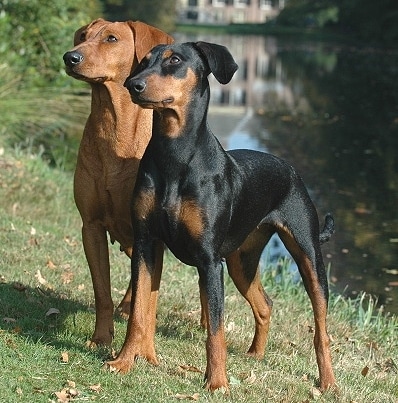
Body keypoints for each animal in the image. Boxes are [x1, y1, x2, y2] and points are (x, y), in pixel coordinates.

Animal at [106, 42, 336, 392]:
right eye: (143, 62)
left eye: (175, 60)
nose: (134, 85)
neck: (175, 156)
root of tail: (291, 169)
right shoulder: (146, 244)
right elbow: (138, 313)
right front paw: (123, 361)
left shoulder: (210, 261)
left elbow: (216, 330)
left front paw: (216, 382)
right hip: (242, 261)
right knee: (265, 304)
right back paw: (256, 355)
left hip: (308, 256)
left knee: (321, 327)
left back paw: (328, 381)